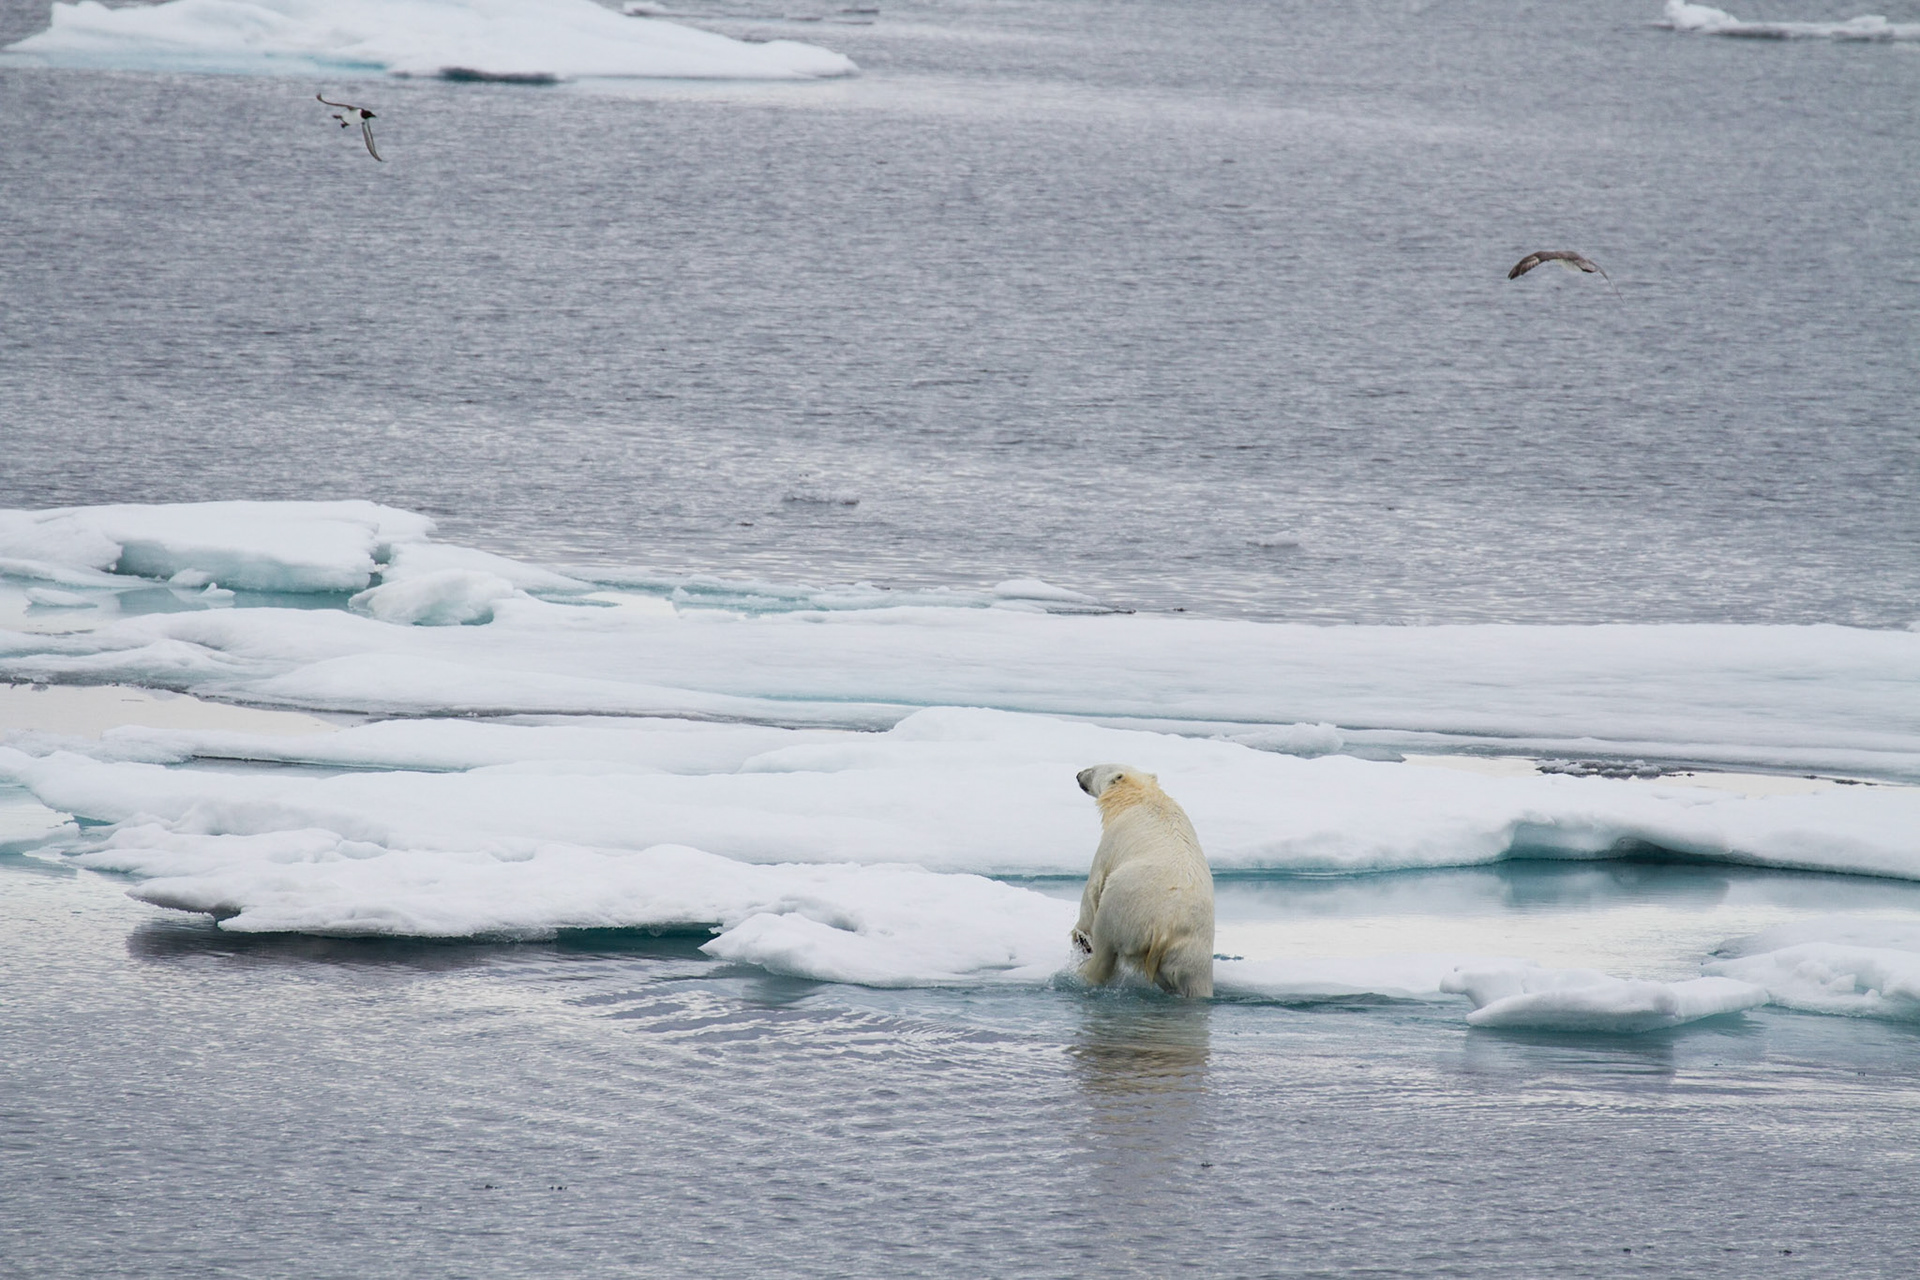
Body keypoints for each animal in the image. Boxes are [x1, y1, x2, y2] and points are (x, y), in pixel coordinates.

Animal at [1070, 763, 1215, 998]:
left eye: (1095, 768)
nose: (1078, 774)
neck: (1140, 797)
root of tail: (1164, 929)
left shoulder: (1112, 841)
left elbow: (1093, 886)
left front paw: (1080, 937)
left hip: (1122, 909)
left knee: (1105, 944)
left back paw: (1085, 971)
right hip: (1191, 953)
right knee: (1194, 982)